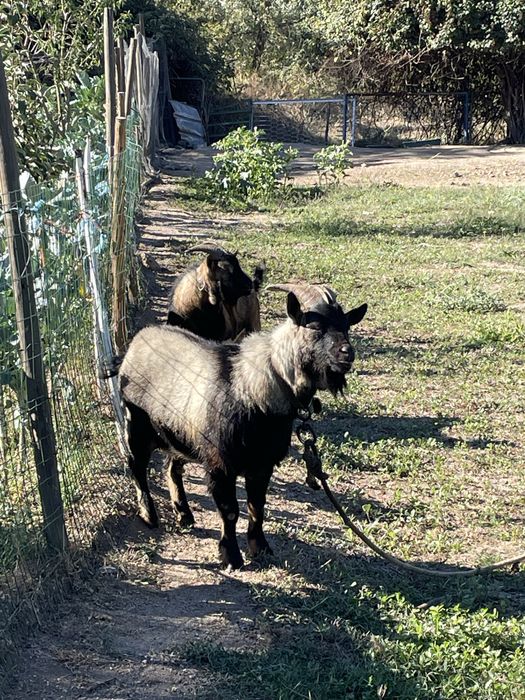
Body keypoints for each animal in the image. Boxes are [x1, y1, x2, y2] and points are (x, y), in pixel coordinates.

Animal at [119, 283, 367, 569]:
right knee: (137, 467)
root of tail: (138, 340)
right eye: (314, 327)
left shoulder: (261, 464)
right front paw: (231, 556)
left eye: (346, 326)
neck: (254, 388)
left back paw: (184, 515)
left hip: (179, 436)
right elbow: (230, 511)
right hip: (136, 425)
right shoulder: (220, 464)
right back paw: (149, 515)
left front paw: (260, 549)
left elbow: (257, 506)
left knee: (172, 468)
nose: (347, 354)